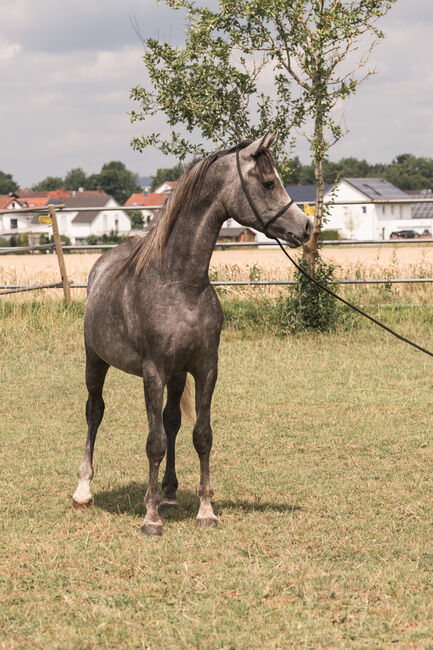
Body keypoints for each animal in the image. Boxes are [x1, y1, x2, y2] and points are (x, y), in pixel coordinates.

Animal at [73, 134, 310, 536]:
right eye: (268, 183)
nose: (306, 226)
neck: (179, 283)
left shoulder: (204, 367)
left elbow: (201, 434)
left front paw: (205, 510)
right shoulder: (153, 371)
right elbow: (153, 442)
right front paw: (150, 519)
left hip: (178, 374)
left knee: (171, 421)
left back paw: (169, 494)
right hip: (96, 360)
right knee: (95, 411)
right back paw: (84, 490)